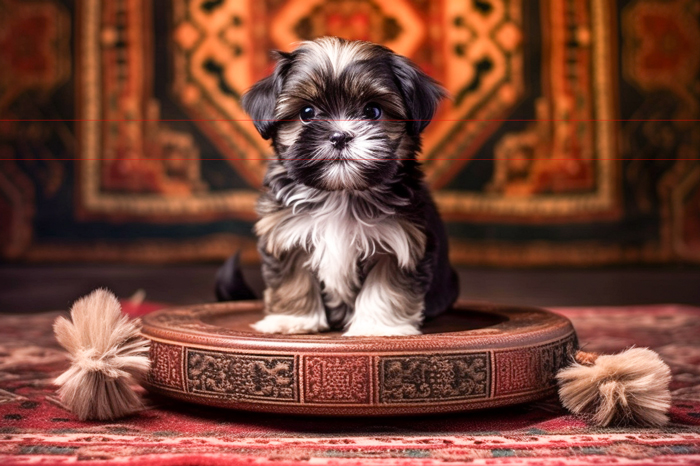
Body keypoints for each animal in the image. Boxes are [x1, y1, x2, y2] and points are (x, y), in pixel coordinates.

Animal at [219, 36, 460, 334]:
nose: (340, 136)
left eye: (373, 110)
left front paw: (378, 328)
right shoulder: (287, 234)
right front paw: (292, 319)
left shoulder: (401, 242)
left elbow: (386, 288)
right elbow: (293, 280)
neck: (341, 194)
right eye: (307, 112)